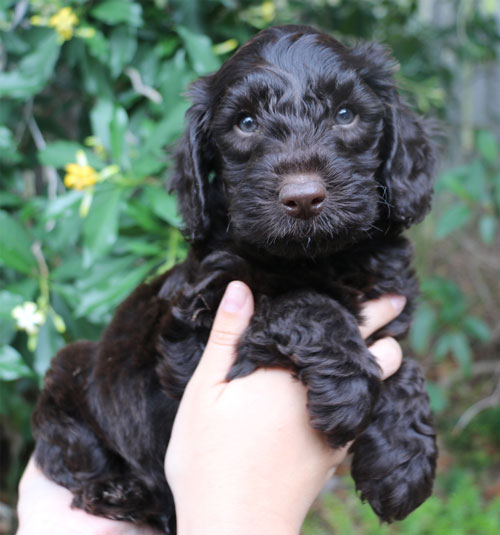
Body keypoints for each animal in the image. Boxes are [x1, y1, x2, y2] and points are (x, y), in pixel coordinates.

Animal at [32, 26, 438, 535]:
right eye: (246, 123)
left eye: (346, 114)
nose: (303, 198)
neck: (317, 257)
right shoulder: (199, 318)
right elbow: (301, 302)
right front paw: (349, 389)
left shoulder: (389, 310)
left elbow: (403, 365)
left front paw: (403, 461)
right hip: (70, 369)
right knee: (68, 459)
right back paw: (121, 493)